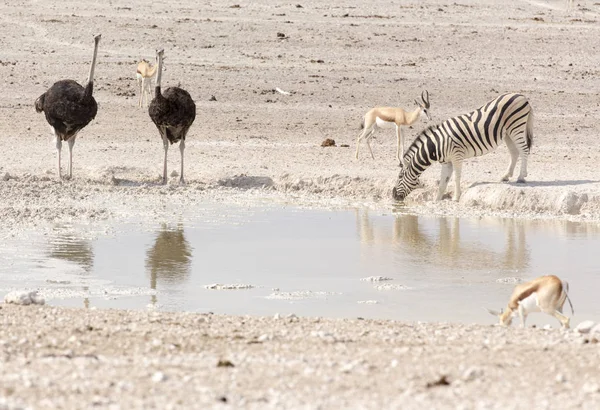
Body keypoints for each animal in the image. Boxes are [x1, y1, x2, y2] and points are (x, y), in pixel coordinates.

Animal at [394, 93, 536, 202]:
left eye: (400, 176)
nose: (393, 195)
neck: (436, 145)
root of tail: (522, 96)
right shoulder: (446, 162)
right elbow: (443, 182)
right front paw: (437, 200)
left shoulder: (456, 156)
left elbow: (456, 177)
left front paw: (456, 198)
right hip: (507, 132)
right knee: (514, 152)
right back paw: (505, 176)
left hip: (516, 126)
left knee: (524, 150)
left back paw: (521, 177)